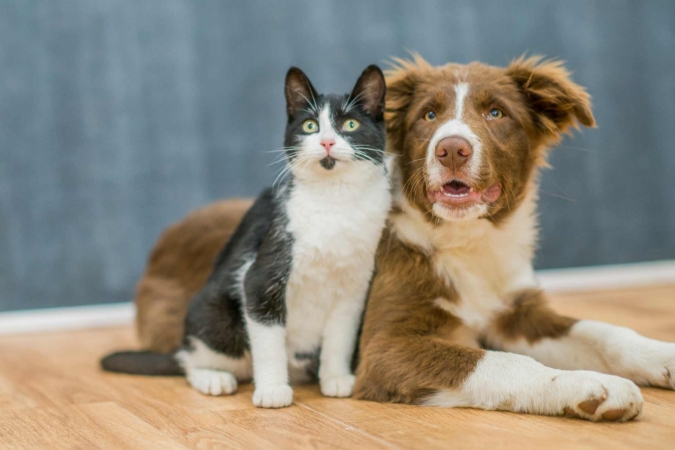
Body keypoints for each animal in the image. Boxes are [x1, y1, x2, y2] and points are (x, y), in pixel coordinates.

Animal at [103, 64, 394, 408]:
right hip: (216, 318)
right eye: (310, 125)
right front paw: (272, 390)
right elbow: (268, 341)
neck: (335, 201)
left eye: (350, 124)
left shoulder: (354, 287)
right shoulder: (261, 275)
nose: (326, 142)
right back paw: (213, 378)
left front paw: (336, 378)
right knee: (191, 360)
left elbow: (340, 337)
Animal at [133, 56, 675, 422]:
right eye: (428, 116)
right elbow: (501, 362)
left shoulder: (517, 310)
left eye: (496, 114)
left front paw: (662, 357)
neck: (463, 243)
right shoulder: (385, 345)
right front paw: (591, 387)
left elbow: (603, 331)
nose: (452, 148)